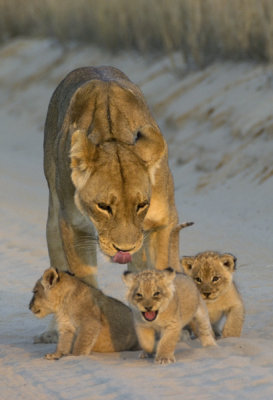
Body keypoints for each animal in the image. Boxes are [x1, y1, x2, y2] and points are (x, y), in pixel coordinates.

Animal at [43, 65, 180, 286]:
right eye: (103, 206)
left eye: (141, 205)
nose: (124, 249)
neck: (112, 135)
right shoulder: (74, 225)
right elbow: (85, 281)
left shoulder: (162, 221)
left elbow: (162, 268)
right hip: (55, 214)